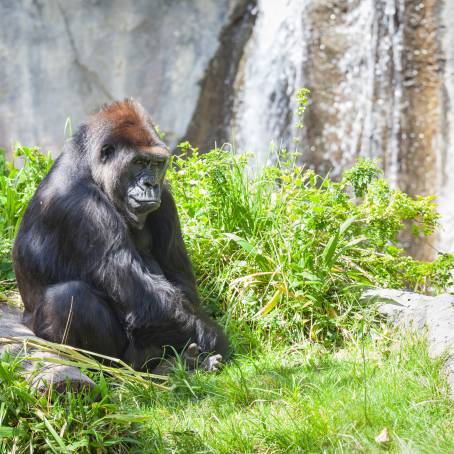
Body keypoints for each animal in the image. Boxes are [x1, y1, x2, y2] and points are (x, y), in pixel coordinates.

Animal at [11, 100, 227, 372]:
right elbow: (144, 301)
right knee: (70, 297)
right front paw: (217, 340)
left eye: (157, 164)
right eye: (139, 162)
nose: (150, 184)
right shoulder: (83, 208)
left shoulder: (166, 199)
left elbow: (182, 284)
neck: (90, 167)